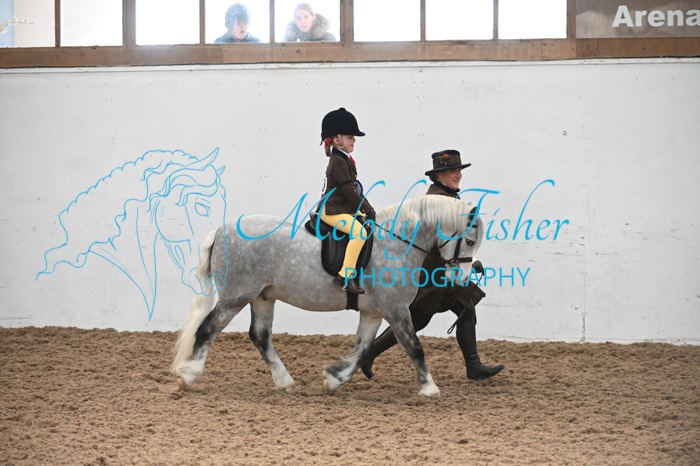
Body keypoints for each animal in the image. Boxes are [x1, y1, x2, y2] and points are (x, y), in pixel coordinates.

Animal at [171, 194, 484, 397]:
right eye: (469, 241)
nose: (461, 278)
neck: (395, 245)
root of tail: (221, 230)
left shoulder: (372, 312)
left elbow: (363, 349)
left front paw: (333, 380)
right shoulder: (396, 310)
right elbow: (414, 347)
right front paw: (430, 388)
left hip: (262, 297)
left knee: (260, 336)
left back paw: (285, 382)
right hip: (236, 296)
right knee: (207, 329)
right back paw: (188, 376)